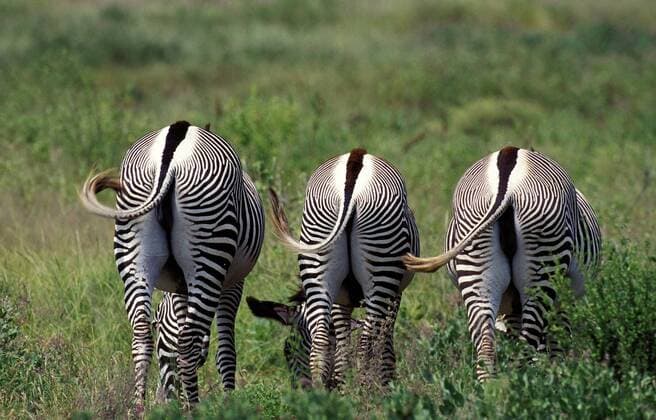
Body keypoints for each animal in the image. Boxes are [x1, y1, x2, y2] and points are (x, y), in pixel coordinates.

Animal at [80, 121, 264, 410]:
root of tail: (169, 156)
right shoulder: (233, 283)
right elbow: (226, 351)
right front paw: (228, 403)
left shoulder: (178, 287)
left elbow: (174, 342)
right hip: (210, 247)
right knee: (187, 341)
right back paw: (196, 410)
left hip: (134, 251)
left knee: (143, 334)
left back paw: (140, 409)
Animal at [258, 148, 420, 387]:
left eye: (287, 352)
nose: (301, 389)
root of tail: (355, 158)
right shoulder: (395, 294)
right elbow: (384, 343)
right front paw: (386, 383)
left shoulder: (340, 299)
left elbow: (342, 351)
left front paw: (343, 386)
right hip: (381, 267)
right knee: (365, 345)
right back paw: (365, 393)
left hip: (320, 260)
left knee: (320, 346)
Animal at [403, 146, 601, 380]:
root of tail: (507, 190)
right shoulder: (563, 300)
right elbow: (557, 343)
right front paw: (558, 375)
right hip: (544, 263)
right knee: (525, 349)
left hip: (476, 267)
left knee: (486, 349)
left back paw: (494, 390)